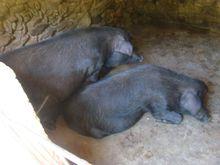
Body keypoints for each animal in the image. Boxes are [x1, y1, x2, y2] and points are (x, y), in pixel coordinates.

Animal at [62, 64, 211, 138]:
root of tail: (66, 114)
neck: (173, 87)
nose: (209, 117)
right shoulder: (157, 100)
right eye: (200, 100)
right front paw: (172, 118)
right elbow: (163, 114)